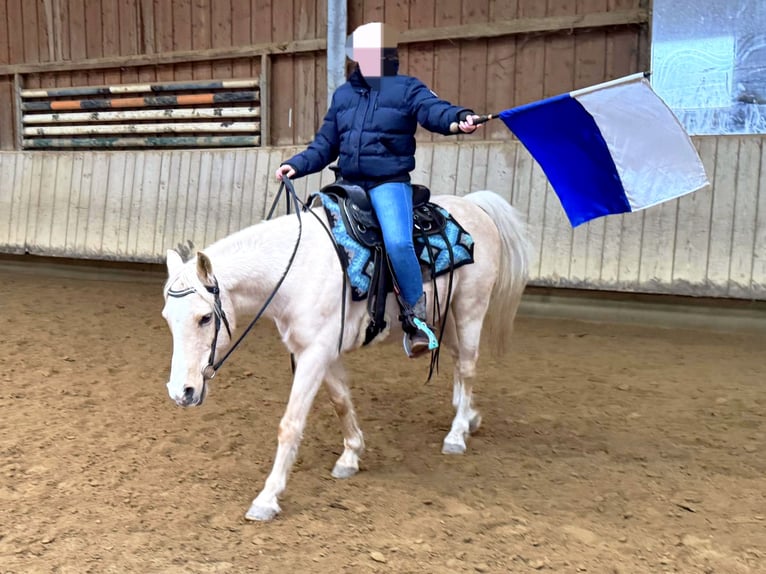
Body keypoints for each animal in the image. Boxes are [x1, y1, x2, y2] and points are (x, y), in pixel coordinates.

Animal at [161, 188, 531, 521]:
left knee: (467, 366)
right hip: (448, 314)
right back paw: (469, 418)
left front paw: (266, 499)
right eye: (167, 317)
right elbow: (341, 402)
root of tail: (473, 205)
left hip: (470, 308)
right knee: (457, 362)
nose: (182, 393)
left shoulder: (314, 354)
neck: (297, 272)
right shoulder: (322, 352)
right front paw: (351, 456)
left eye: (205, 317)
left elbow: (291, 424)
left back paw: (456, 435)